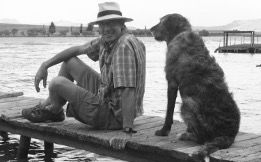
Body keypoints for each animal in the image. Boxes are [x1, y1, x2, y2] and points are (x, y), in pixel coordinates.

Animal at [149, 13, 241, 159]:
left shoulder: (172, 82)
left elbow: (169, 112)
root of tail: (228, 135)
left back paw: (186, 135)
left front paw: (164, 131)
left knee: (201, 138)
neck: (180, 33)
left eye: (162, 22)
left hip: (187, 103)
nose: (150, 30)